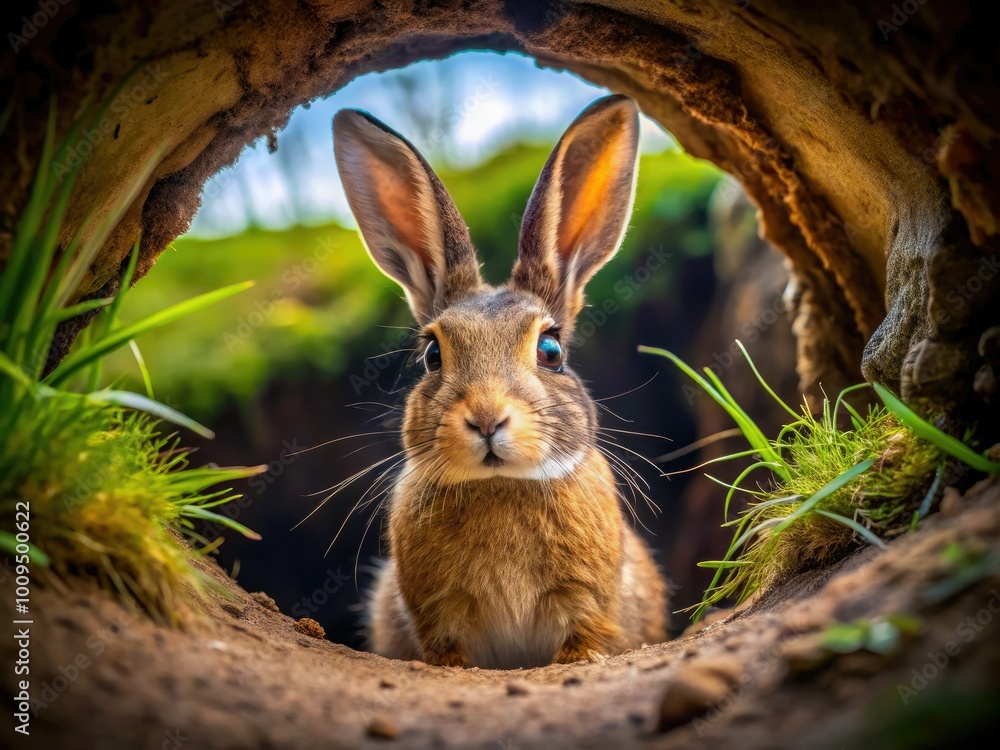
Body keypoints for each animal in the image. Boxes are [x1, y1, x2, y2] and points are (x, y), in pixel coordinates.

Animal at [332, 94, 667, 669]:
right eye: (432, 355)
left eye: (551, 351)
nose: (487, 419)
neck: (501, 485)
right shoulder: (441, 614)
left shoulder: (584, 601)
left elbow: (582, 640)